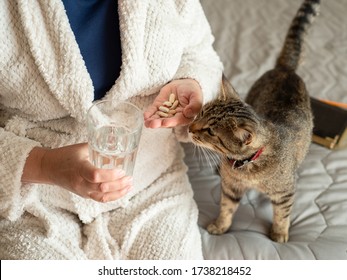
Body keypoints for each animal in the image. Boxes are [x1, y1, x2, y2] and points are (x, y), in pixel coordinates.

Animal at [189, 0, 322, 242]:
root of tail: (285, 69)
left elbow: (282, 214)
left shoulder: (285, 192)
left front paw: (279, 233)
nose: (189, 128)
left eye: (211, 131)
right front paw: (220, 226)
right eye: (201, 113)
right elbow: (226, 208)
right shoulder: (231, 187)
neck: (244, 165)